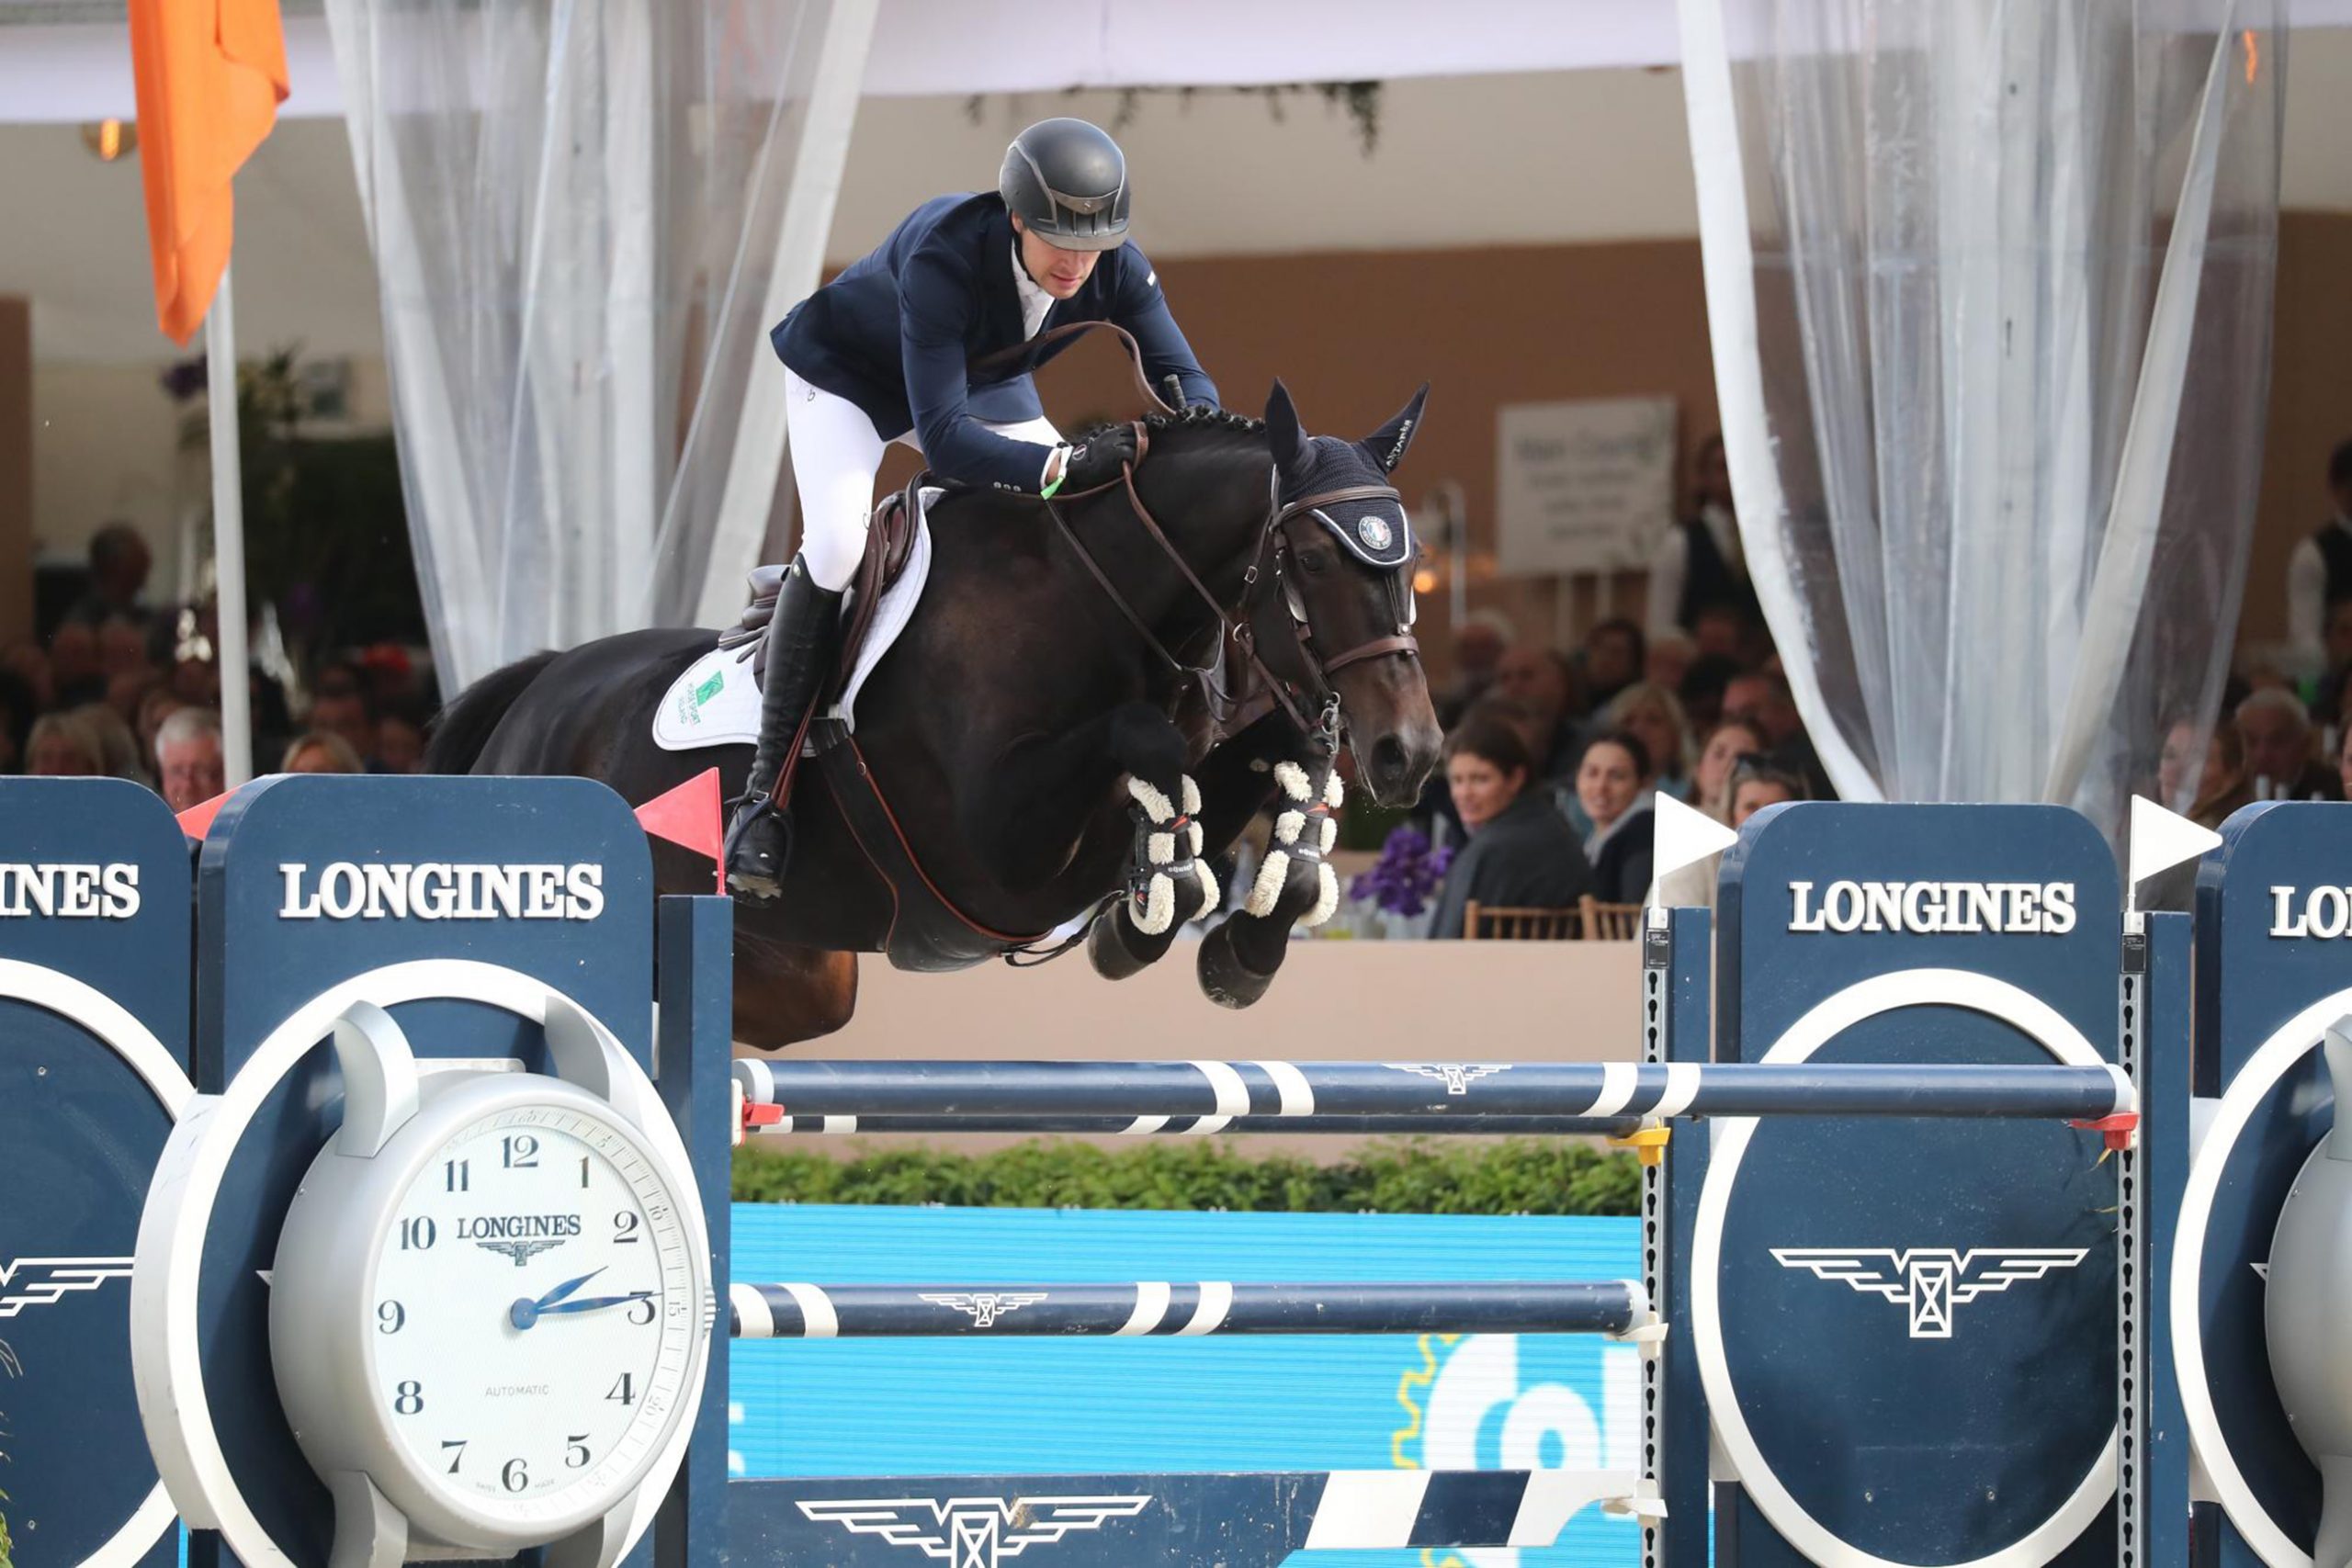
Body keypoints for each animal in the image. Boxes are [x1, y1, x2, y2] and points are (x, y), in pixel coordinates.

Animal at [430, 383, 1439, 1053]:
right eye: (1315, 558)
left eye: (1409, 557)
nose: (1412, 753)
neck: (1099, 599)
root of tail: (537, 685)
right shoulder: (998, 860)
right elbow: (1143, 749)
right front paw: (1158, 904)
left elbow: (1256, 762)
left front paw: (1248, 931)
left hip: (808, 976)